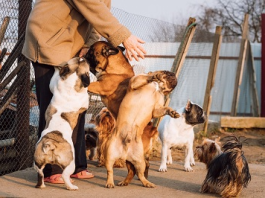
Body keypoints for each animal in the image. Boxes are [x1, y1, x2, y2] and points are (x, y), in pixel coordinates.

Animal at [33, 57, 89, 190]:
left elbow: (53, 79)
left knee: (40, 173)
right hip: (70, 163)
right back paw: (71, 187)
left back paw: (41, 185)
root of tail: (50, 143)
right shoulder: (85, 101)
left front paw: (56, 68)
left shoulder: (54, 84)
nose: (82, 57)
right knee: (65, 175)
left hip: (37, 162)